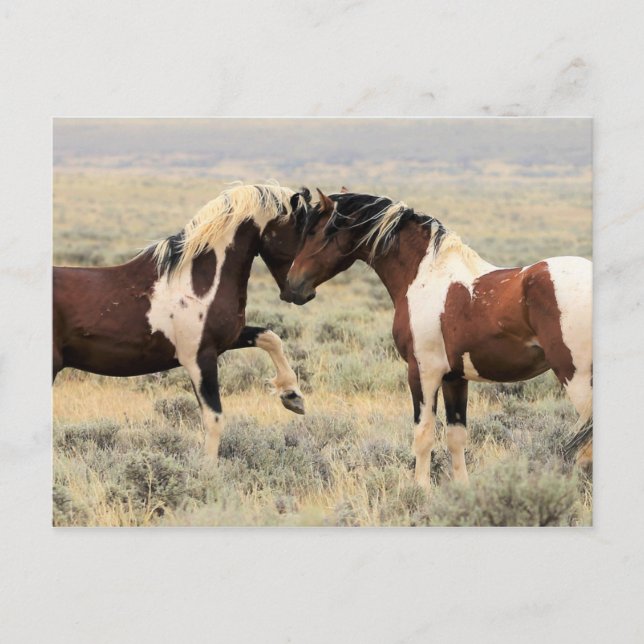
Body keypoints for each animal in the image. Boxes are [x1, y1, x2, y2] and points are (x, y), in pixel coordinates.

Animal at [54, 183, 312, 458]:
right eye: (302, 229)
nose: (302, 292)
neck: (196, 282)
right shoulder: (199, 359)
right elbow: (214, 418)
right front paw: (207, 468)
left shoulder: (226, 340)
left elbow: (270, 337)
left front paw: (292, 396)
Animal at [286, 189, 592, 489]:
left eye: (314, 231)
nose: (292, 287)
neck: (425, 275)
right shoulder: (454, 378)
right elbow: (456, 438)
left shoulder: (422, 373)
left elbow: (423, 435)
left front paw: (419, 491)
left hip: (575, 377)